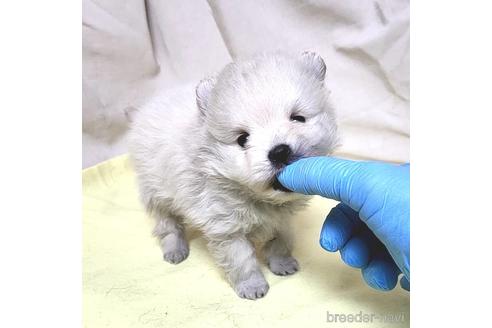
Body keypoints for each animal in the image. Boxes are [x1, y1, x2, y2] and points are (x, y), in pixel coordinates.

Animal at [129, 52, 338, 300]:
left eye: (298, 118)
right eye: (242, 139)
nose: (279, 151)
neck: (256, 198)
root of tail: (147, 108)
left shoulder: (281, 220)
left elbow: (281, 241)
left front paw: (282, 263)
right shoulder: (226, 228)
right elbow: (241, 260)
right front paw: (252, 286)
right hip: (156, 190)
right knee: (168, 224)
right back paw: (175, 249)